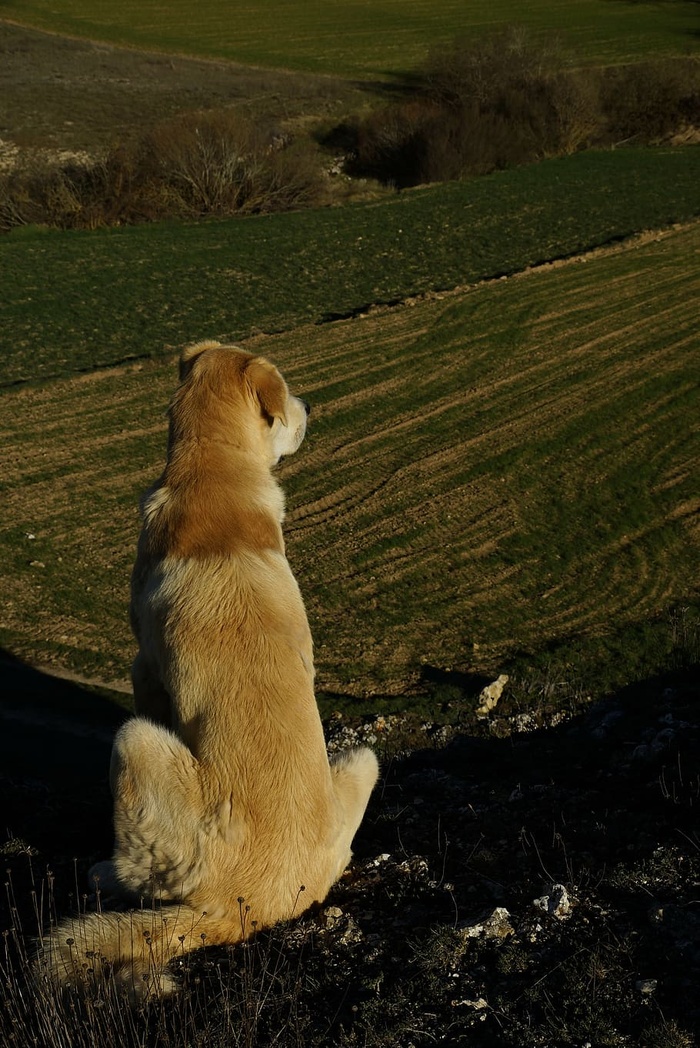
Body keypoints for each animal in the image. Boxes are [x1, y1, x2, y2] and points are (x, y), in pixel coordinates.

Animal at [45, 343, 377, 997]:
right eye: (290, 394)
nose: (311, 405)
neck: (214, 469)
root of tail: (244, 909)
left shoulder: (145, 669)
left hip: (135, 745)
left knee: (141, 873)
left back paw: (105, 873)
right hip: (360, 761)